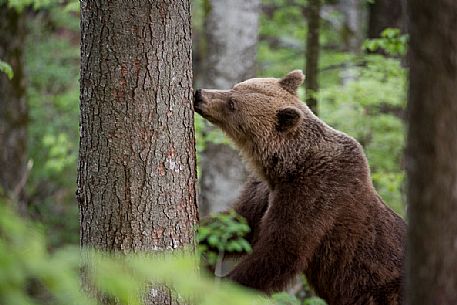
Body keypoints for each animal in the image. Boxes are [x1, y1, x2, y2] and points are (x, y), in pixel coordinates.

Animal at [194, 69, 404, 304]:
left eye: (232, 104)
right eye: (235, 88)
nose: (199, 95)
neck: (287, 166)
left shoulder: (315, 193)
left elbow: (281, 251)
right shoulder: (265, 190)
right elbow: (237, 222)